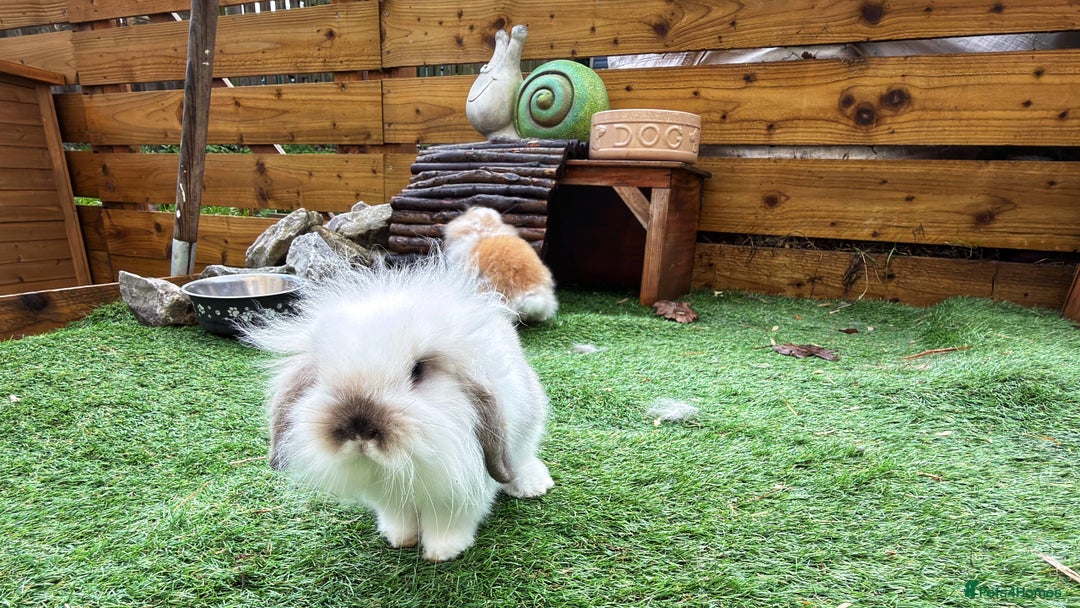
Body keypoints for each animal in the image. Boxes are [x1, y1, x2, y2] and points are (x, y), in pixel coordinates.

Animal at [240, 254, 554, 562]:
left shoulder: (460, 493)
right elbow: (398, 515)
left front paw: (442, 552)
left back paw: (532, 486)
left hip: (527, 428)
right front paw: (400, 538)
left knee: (523, 458)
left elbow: (448, 522)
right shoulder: (388, 496)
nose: (359, 430)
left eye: (418, 370)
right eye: (319, 376)